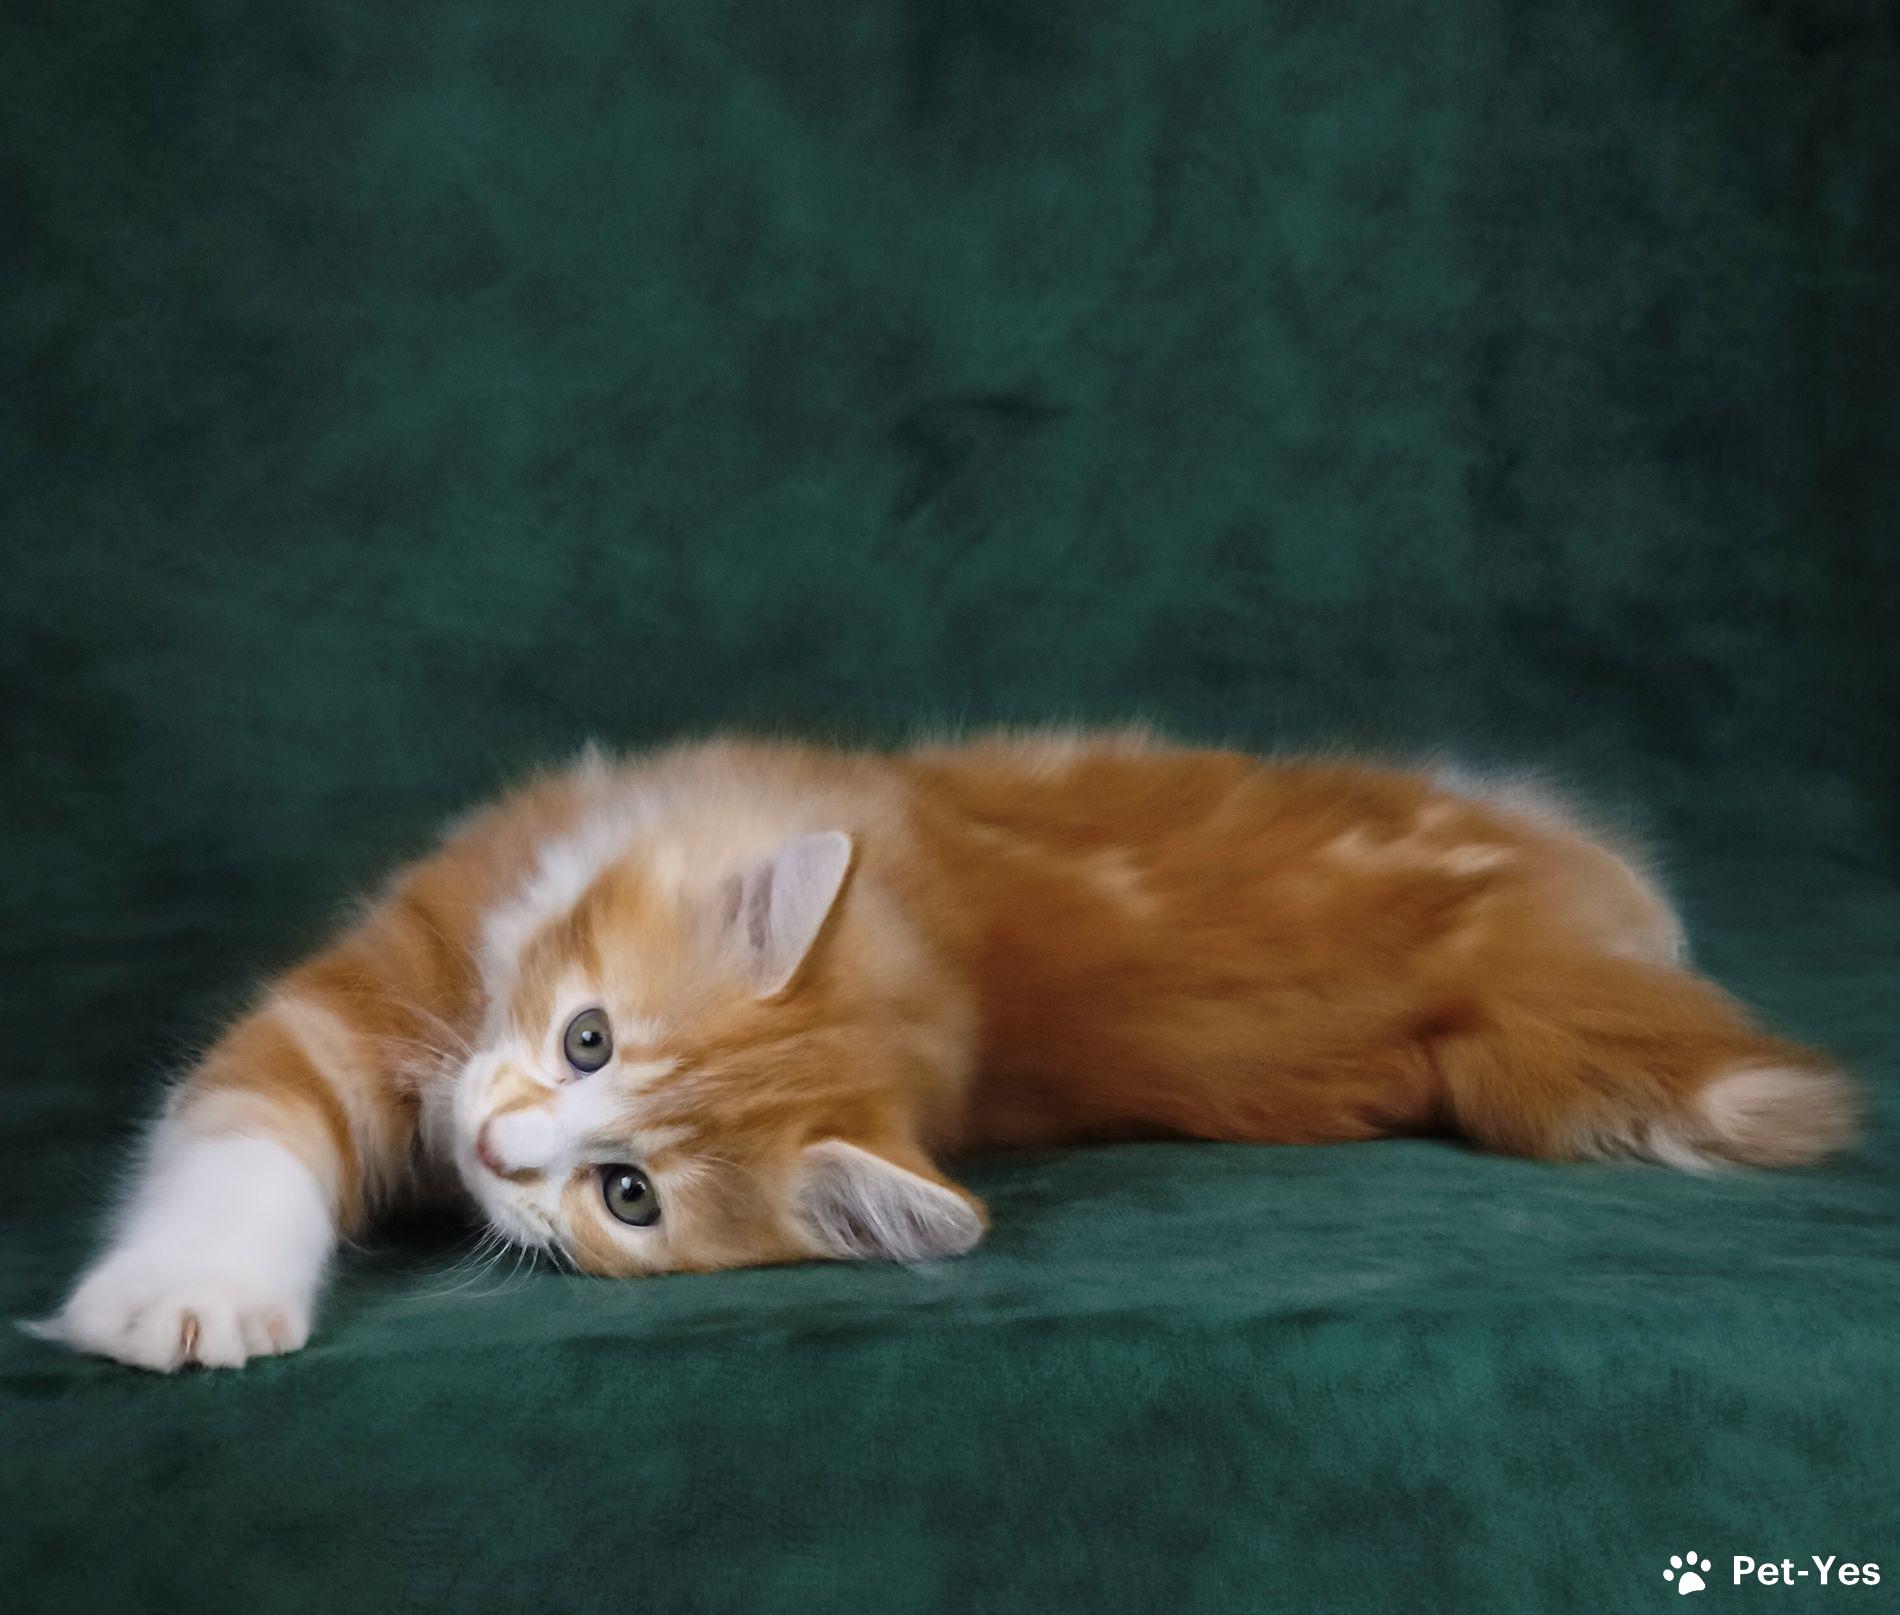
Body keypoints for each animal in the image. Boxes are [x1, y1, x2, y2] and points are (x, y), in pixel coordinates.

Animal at [34, 730, 1856, 1370]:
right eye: (586, 1033)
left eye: (629, 1197)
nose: (496, 1154)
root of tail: (1484, 966)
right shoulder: (396, 980)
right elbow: (249, 1132)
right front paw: (181, 1298)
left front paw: (184, 1298)